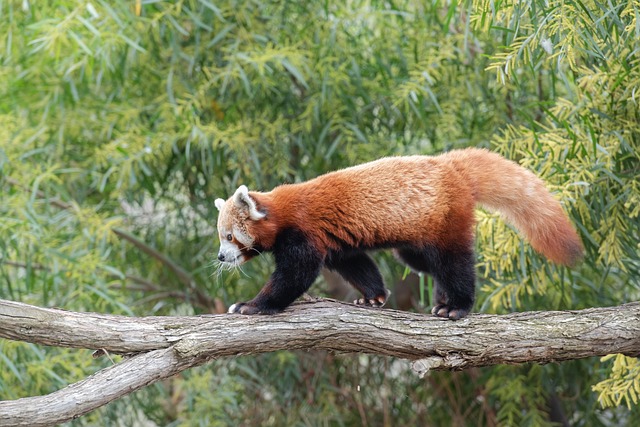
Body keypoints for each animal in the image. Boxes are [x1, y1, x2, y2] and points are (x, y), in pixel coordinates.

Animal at [214, 149, 580, 320]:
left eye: (229, 237)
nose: (219, 256)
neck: (282, 212)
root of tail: (451, 166)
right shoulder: (336, 242)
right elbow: (356, 264)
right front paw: (373, 296)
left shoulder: (304, 233)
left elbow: (294, 276)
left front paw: (252, 305)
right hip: (416, 239)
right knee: (427, 264)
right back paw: (442, 299)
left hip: (446, 219)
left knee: (454, 263)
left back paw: (456, 306)